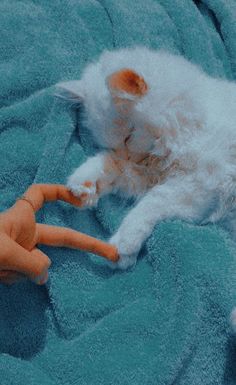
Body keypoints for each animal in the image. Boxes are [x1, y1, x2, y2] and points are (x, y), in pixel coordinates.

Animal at [55, 46, 236, 322]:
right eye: (114, 143)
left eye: (129, 136)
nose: (130, 156)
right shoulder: (149, 174)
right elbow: (110, 166)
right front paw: (83, 186)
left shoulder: (198, 185)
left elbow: (149, 205)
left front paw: (123, 243)